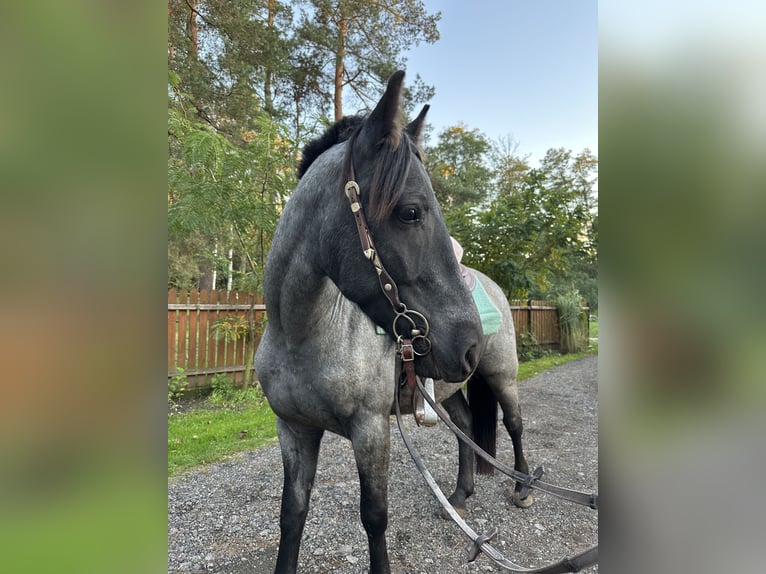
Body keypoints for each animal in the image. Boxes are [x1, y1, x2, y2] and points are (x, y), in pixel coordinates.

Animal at [255, 72, 532, 574]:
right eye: (410, 211)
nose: (468, 343)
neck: (302, 337)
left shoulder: (371, 429)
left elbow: (374, 517)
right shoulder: (294, 429)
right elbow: (292, 514)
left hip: (501, 375)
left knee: (515, 425)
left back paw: (522, 488)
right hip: (447, 386)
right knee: (466, 425)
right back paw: (459, 495)